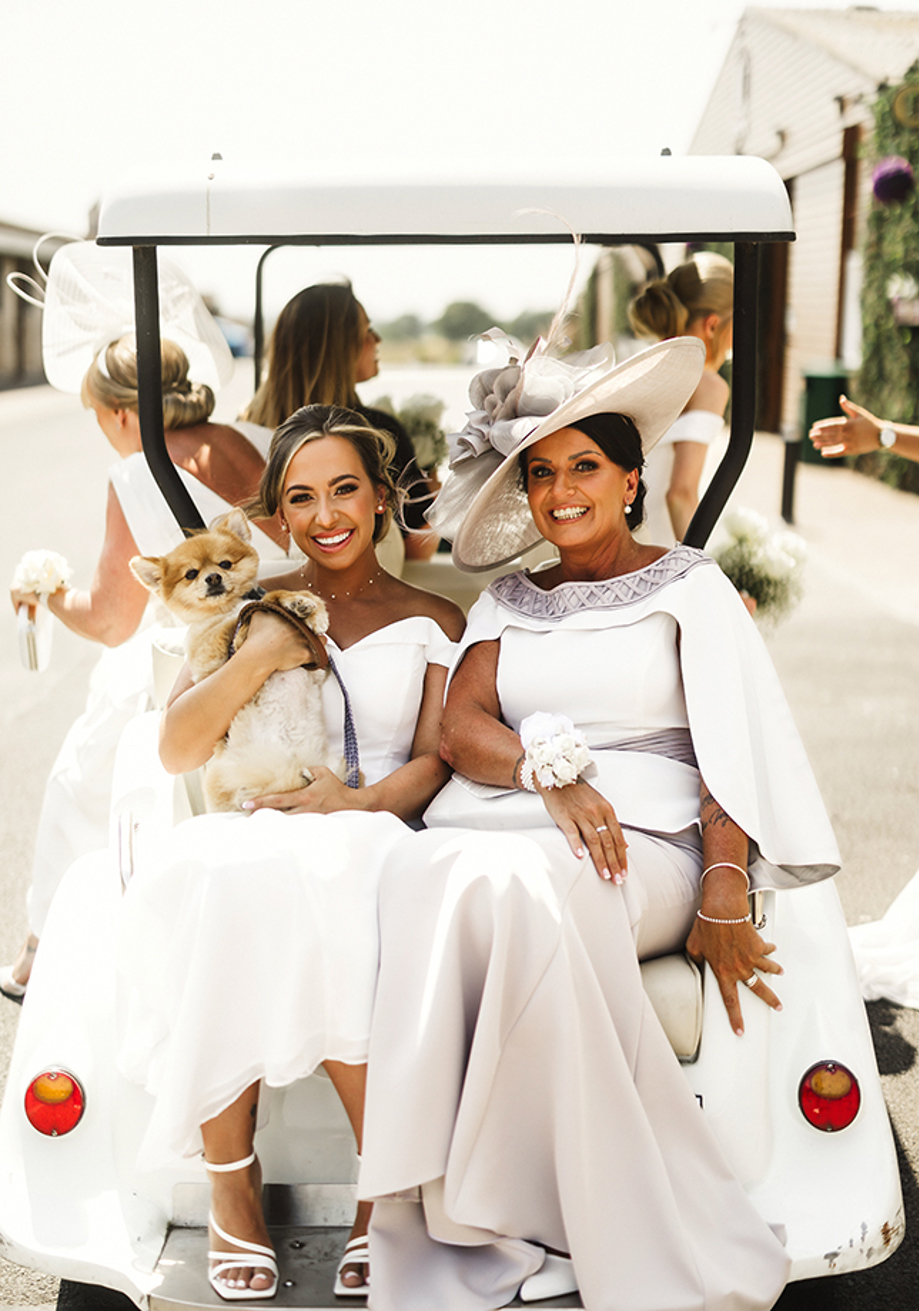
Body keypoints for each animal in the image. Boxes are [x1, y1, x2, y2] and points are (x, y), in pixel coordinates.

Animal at [129, 508, 340, 807]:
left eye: (225, 564)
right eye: (191, 574)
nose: (213, 578)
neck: (224, 607)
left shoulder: (316, 668)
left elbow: (269, 598)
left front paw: (306, 605)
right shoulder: (207, 650)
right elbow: (248, 610)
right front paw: (248, 627)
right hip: (229, 778)